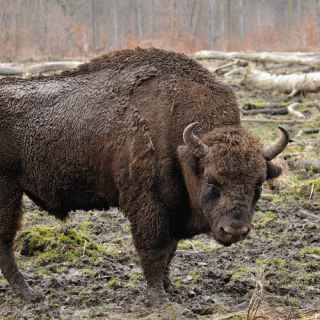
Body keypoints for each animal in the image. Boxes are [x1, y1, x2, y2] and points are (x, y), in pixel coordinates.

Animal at [0, 48, 288, 304]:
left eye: (258, 184)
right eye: (211, 181)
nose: (235, 230)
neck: (181, 145)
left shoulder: (173, 209)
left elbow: (170, 251)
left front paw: (171, 288)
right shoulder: (149, 205)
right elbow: (154, 249)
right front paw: (159, 298)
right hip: (9, 194)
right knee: (5, 242)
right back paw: (30, 294)